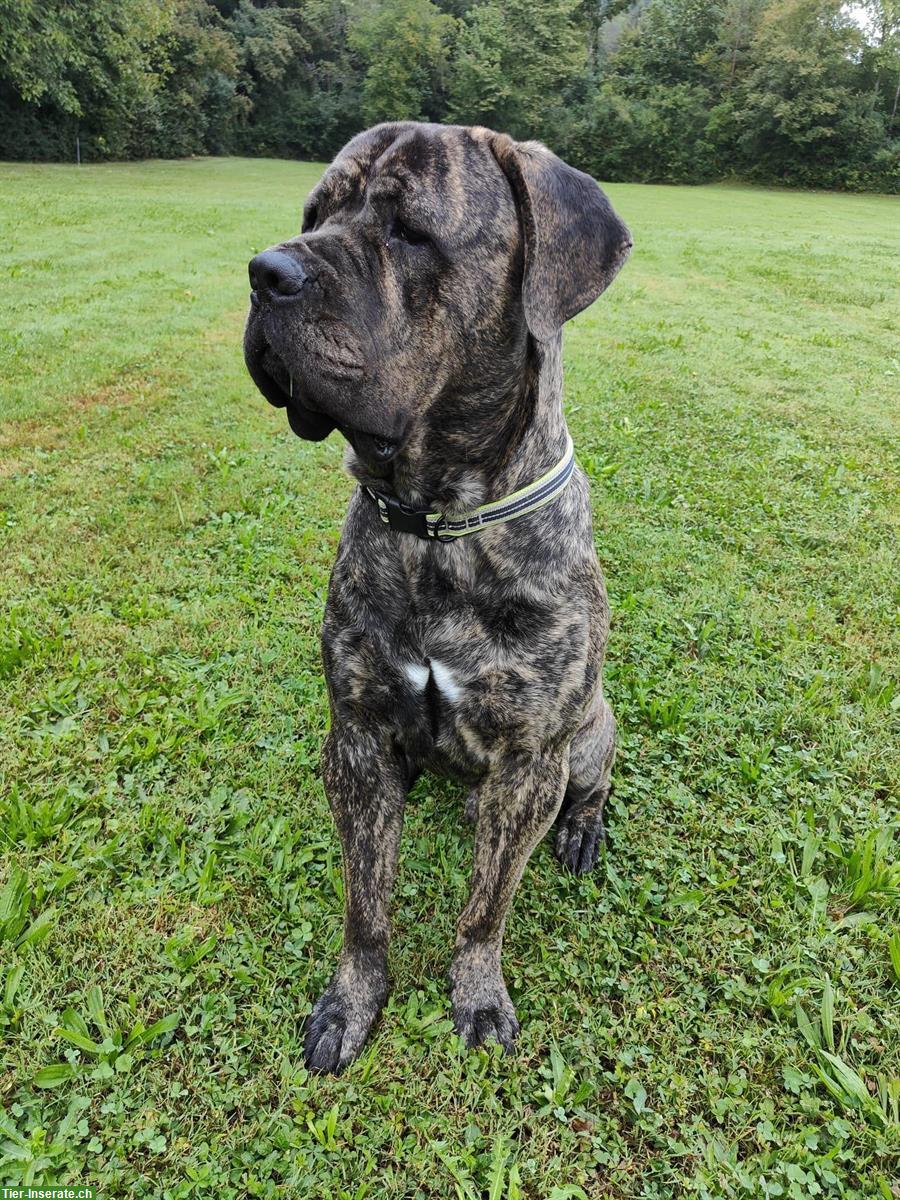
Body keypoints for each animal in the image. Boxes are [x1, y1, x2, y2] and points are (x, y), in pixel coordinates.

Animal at [243, 124, 628, 1080]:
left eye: (409, 231)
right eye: (315, 212)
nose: (265, 272)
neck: (436, 520)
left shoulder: (530, 759)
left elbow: (486, 908)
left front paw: (478, 993)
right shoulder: (355, 734)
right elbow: (364, 901)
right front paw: (352, 1001)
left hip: (592, 730)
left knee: (592, 783)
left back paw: (581, 832)